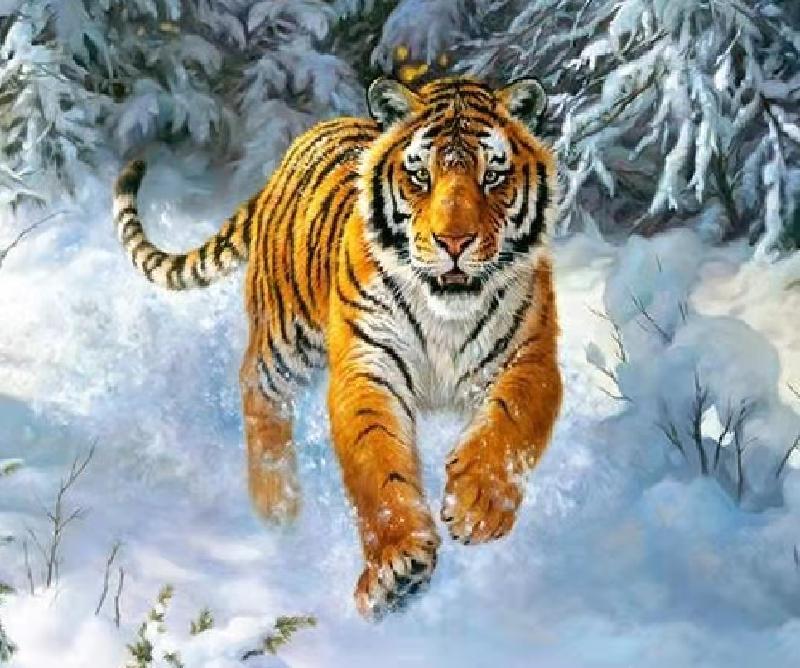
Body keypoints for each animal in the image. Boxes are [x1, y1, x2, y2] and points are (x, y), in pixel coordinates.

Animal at [113, 75, 562, 620]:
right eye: (420, 176)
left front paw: (478, 504)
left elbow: (511, 425)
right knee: (257, 390)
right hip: (284, 337)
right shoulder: (367, 366)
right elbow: (378, 466)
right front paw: (395, 571)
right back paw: (276, 505)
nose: (453, 242)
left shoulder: (531, 355)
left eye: (493, 176)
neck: (446, 313)